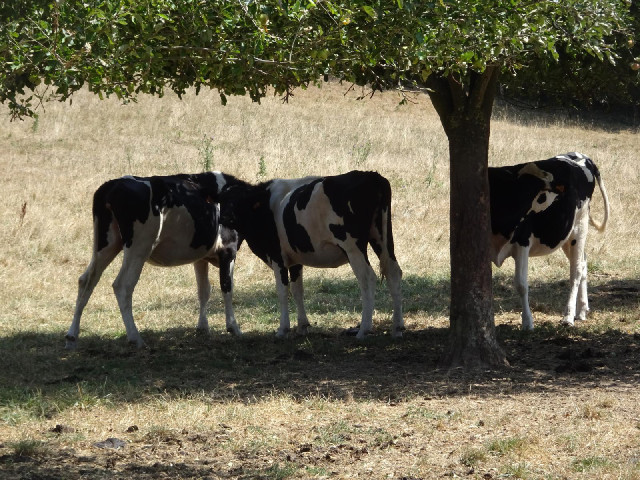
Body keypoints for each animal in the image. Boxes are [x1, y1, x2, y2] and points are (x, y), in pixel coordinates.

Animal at [66, 173, 242, 349]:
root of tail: (114, 184)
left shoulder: (200, 257)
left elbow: (204, 290)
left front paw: (203, 327)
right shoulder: (228, 250)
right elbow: (227, 287)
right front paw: (233, 327)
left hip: (106, 243)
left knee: (86, 280)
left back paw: (72, 336)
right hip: (139, 247)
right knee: (122, 285)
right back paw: (135, 338)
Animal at [206, 170, 404, 339]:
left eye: (241, 201)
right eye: (222, 200)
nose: (225, 218)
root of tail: (371, 176)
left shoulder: (277, 257)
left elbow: (282, 291)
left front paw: (283, 329)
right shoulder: (295, 260)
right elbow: (297, 290)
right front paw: (302, 326)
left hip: (353, 247)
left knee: (367, 278)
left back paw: (363, 329)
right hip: (382, 238)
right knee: (393, 272)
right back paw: (397, 327)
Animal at [489, 152, 610, 330]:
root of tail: (583, 157)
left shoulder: (522, 241)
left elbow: (521, 284)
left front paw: (527, 322)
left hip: (579, 227)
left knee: (576, 271)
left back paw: (568, 316)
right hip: (565, 236)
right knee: (583, 263)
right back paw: (582, 310)